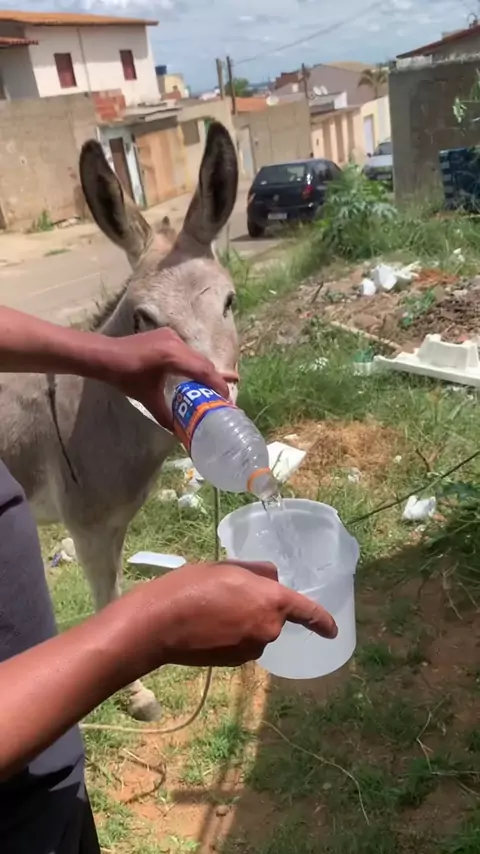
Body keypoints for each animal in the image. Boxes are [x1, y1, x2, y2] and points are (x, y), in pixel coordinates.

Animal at [0, 122, 239, 721]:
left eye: (230, 302)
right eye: (143, 318)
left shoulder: (116, 520)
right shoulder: (84, 524)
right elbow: (107, 603)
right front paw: (139, 696)